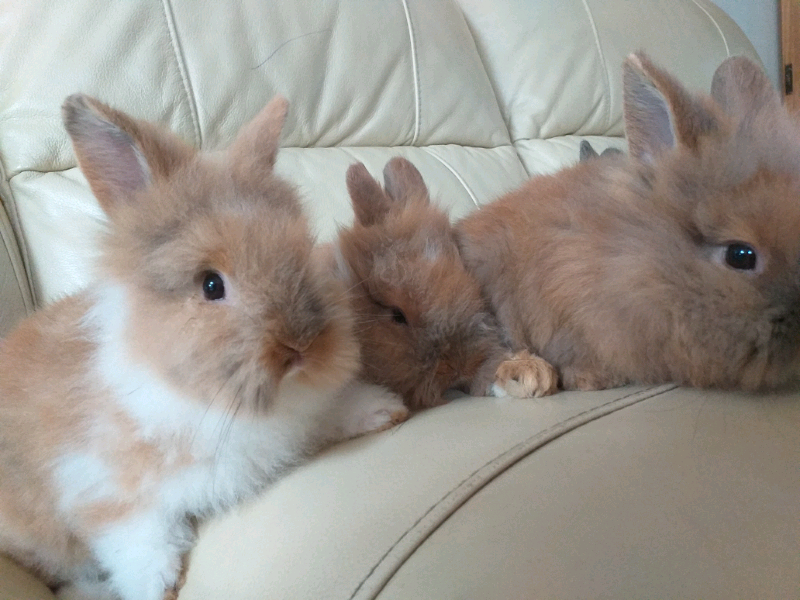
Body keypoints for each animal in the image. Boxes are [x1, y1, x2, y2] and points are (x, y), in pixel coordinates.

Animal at [0, 94, 407, 600]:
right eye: (211, 285)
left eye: (301, 250)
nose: (300, 346)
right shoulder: (94, 482)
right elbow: (132, 532)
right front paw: (156, 585)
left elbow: (328, 414)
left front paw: (384, 409)